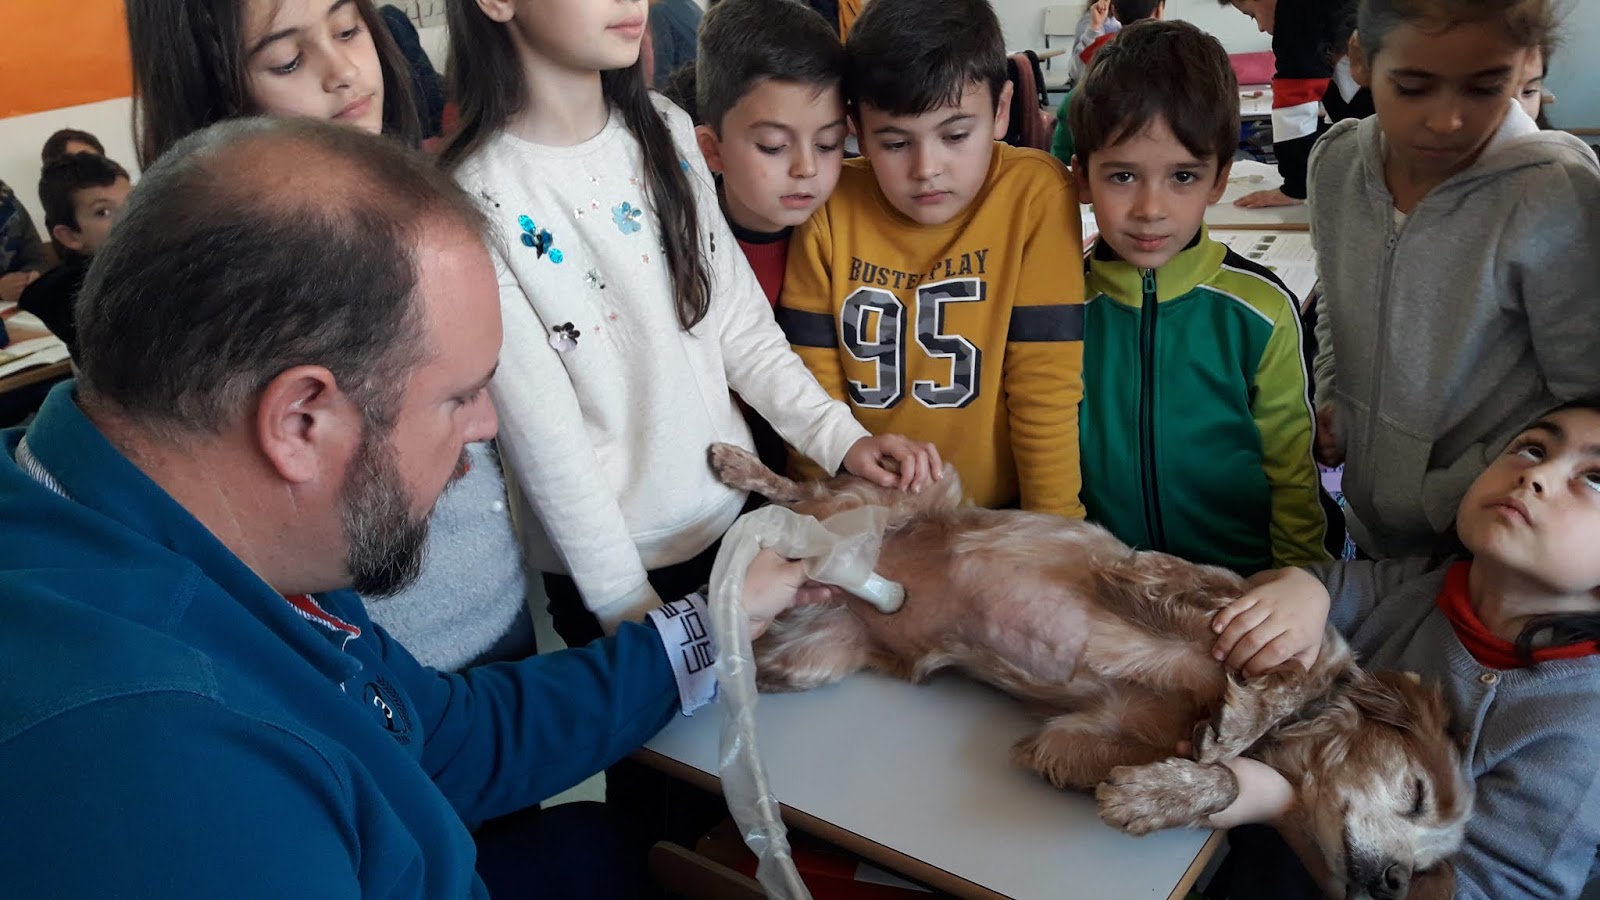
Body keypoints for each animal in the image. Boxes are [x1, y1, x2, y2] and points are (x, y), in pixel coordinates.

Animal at [709, 443, 1472, 900]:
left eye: (1427, 865)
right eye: (1415, 794)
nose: (1394, 882)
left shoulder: (1069, 738)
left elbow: (1212, 769)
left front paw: (1161, 792)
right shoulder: (1177, 582)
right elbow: (1284, 681)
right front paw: (1237, 726)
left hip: (808, 657)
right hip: (904, 493)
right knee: (801, 489)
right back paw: (739, 468)